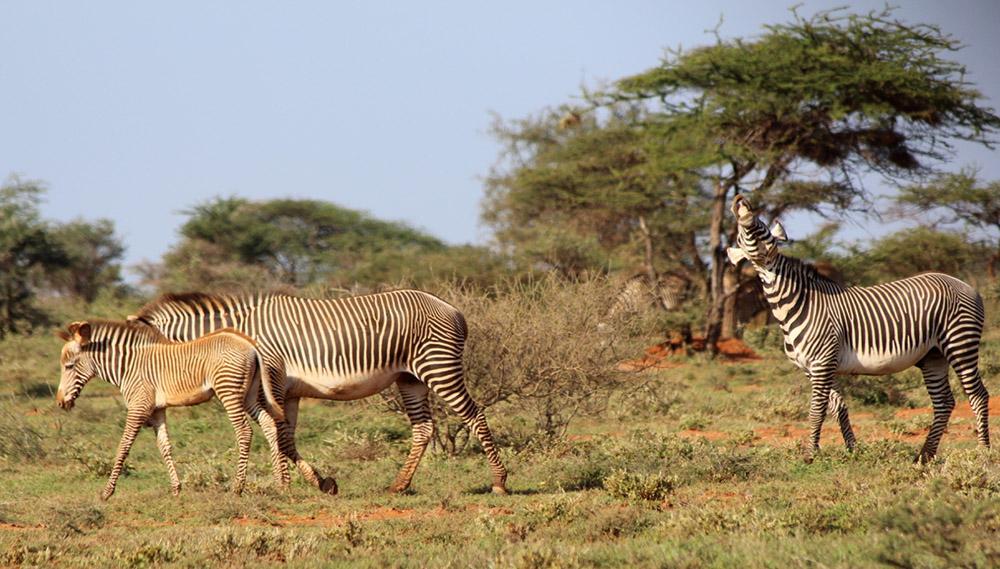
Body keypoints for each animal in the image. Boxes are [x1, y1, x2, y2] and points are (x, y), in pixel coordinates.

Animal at [55, 318, 332, 500]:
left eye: (69, 366)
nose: (60, 403)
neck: (128, 367)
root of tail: (251, 345)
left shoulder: (138, 406)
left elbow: (123, 446)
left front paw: (107, 492)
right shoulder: (157, 410)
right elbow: (165, 447)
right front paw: (176, 488)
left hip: (229, 391)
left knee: (245, 432)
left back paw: (238, 487)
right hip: (250, 394)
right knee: (269, 425)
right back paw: (281, 483)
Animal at [131, 288, 508, 492]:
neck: (238, 334)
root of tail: (452, 308)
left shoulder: (272, 379)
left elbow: (278, 434)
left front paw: (292, 483)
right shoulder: (289, 391)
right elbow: (286, 437)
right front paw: (318, 482)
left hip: (438, 368)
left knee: (475, 415)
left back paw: (500, 481)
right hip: (410, 378)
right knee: (424, 428)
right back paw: (399, 485)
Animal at [728, 194, 992, 462]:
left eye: (759, 225)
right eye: (741, 234)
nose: (740, 199)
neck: (797, 304)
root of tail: (965, 284)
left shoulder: (822, 363)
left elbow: (816, 411)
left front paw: (810, 455)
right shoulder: (815, 368)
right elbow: (838, 407)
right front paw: (852, 449)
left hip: (960, 343)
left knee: (978, 395)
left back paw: (982, 452)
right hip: (933, 355)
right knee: (944, 402)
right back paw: (924, 456)